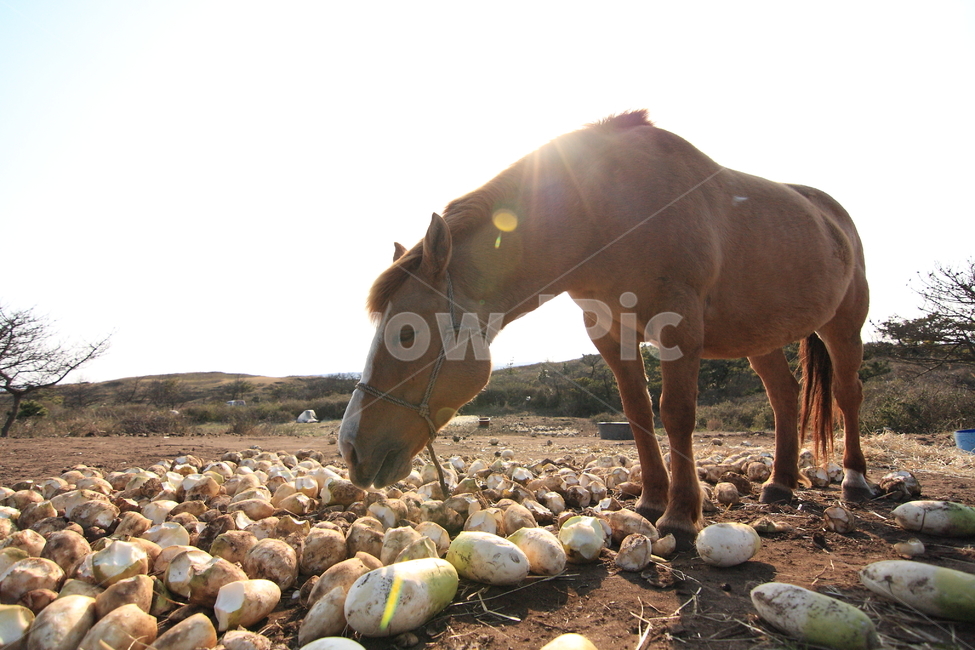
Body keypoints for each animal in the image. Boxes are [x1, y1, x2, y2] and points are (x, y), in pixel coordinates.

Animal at [339, 110, 870, 547]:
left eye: (406, 334)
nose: (350, 448)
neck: (607, 211)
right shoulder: (609, 331)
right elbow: (637, 412)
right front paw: (652, 501)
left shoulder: (680, 326)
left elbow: (676, 413)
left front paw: (681, 514)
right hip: (759, 337)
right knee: (784, 397)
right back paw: (779, 483)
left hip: (844, 327)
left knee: (847, 395)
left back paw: (855, 480)